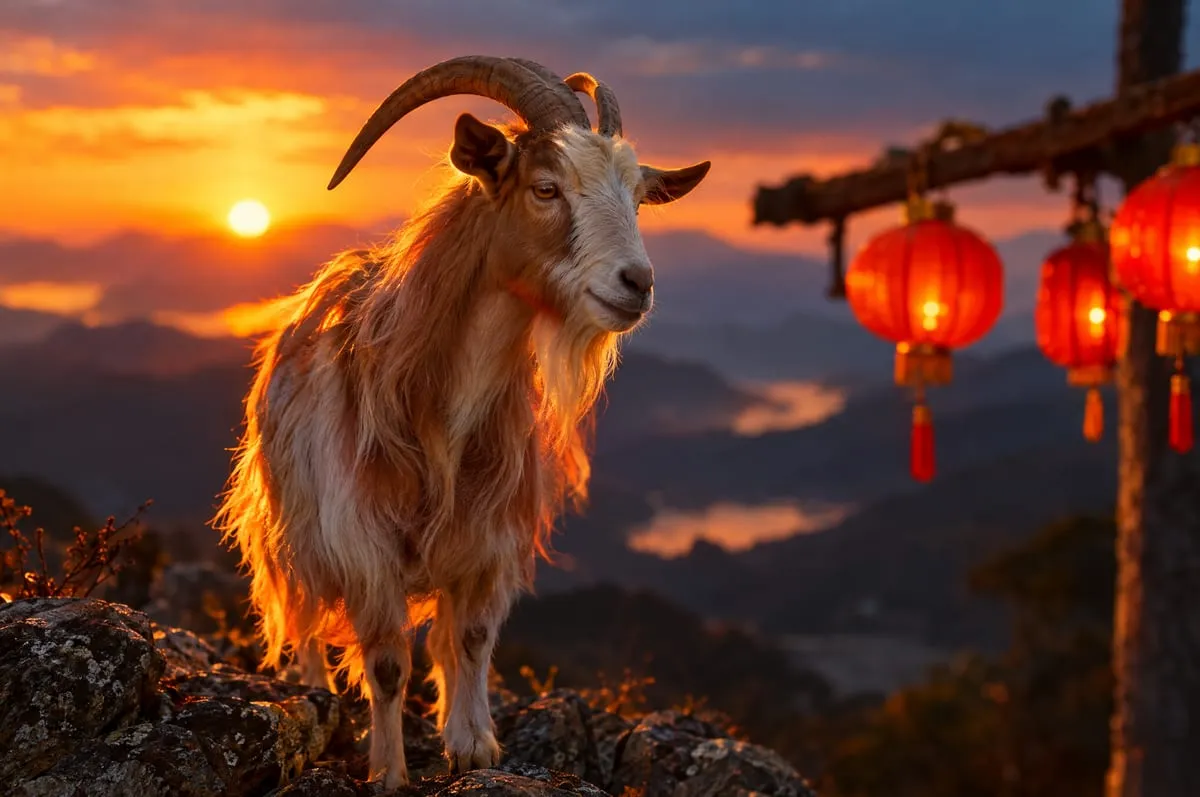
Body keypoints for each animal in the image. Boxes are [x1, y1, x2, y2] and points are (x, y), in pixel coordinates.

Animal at [214, 55, 710, 788]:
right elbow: (388, 664)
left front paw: (473, 745)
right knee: (305, 619)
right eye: (545, 187)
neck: (441, 416)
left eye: (638, 198)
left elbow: (470, 640)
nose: (637, 283)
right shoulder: (365, 544)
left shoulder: (489, 536)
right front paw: (389, 771)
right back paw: (314, 693)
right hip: (292, 533)